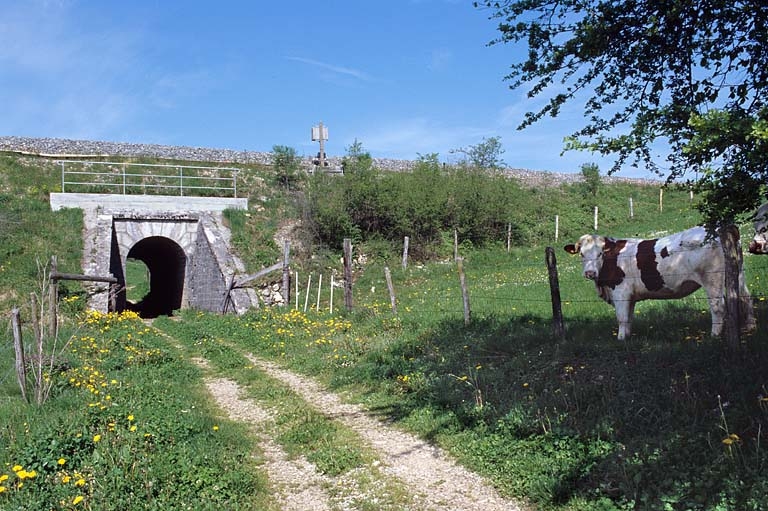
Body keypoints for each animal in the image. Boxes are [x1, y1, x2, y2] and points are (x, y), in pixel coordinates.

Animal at [564, 227, 756, 340]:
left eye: (600, 254)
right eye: (581, 254)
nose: (590, 273)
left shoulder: (620, 292)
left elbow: (622, 318)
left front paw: (621, 339)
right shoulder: (630, 296)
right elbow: (629, 318)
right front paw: (628, 337)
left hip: (712, 279)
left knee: (718, 307)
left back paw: (714, 336)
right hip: (737, 273)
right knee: (745, 297)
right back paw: (750, 327)